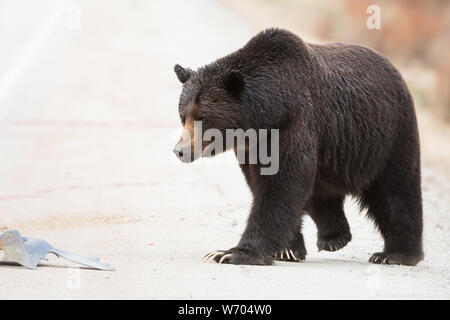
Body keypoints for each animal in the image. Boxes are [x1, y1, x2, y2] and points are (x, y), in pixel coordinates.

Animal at [172, 28, 422, 264]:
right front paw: (287, 249)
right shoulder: (252, 148)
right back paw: (334, 236)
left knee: (396, 191)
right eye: (183, 115)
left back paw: (396, 254)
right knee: (320, 193)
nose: (180, 151)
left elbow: (283, 184)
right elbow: (266, 185)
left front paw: (231, 253)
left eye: (203, 117)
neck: (268, 114)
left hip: (388, 136)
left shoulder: (295, 123)